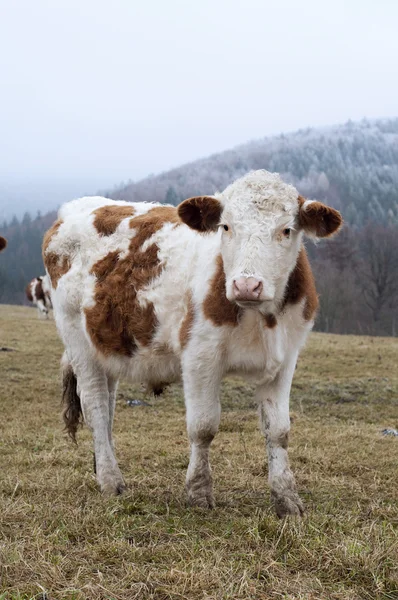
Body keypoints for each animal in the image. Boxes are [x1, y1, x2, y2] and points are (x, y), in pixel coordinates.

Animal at [42, 170, 342, 516]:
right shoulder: (200, 356)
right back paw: (110, 480)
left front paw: (287, 499)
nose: (247, 285)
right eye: (226, 226)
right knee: (95, 406)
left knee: (108, 405)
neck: (261, 319)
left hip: (107, 343)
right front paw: (199, 493)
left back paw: (102, 466)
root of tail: (74, 209)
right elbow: (203, 426)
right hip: (77, 341)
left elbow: (278, 430)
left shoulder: (284, 359)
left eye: (286, 230)